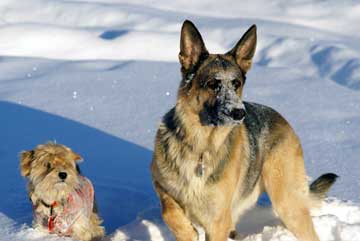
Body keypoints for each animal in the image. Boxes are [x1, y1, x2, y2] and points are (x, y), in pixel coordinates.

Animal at [150, 20, 338, 241]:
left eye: (236, 84)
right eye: (212, 84)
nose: (240, 113)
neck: (201, 147)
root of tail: (283, 121)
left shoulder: (217, 222)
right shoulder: (161, 185)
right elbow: (169, 211)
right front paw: (187, 230)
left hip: (288, 204)